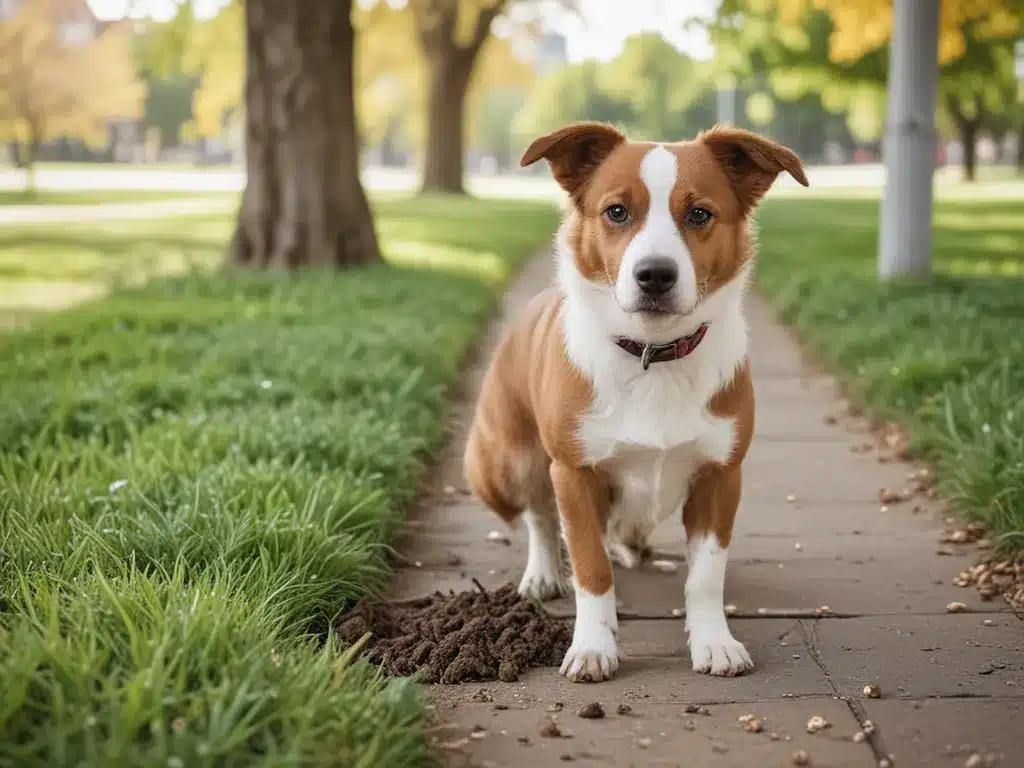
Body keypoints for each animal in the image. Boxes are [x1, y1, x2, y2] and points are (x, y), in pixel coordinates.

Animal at [464, 121, 806, 684]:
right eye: (617, 211)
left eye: (699, 214)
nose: (655, 274)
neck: (652, 353)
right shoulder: (574, 475)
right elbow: (590, 567)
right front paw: (592, 646)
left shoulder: (721, 475)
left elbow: (706, 576)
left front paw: (714, 642)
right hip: (504, 464)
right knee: (537, 513)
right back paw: (543, 571)